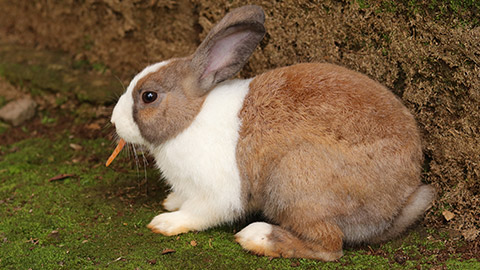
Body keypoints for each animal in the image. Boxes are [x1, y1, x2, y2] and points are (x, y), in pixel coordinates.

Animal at [109, 4, 436, 262]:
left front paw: (165, 221)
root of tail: (399, 201)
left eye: (149, 96)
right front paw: (171, 201)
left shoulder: (219, 194)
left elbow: (199, 212)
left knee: (330, 246)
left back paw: (257, 237)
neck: (191, 118)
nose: (114, 122)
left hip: (295, 181)